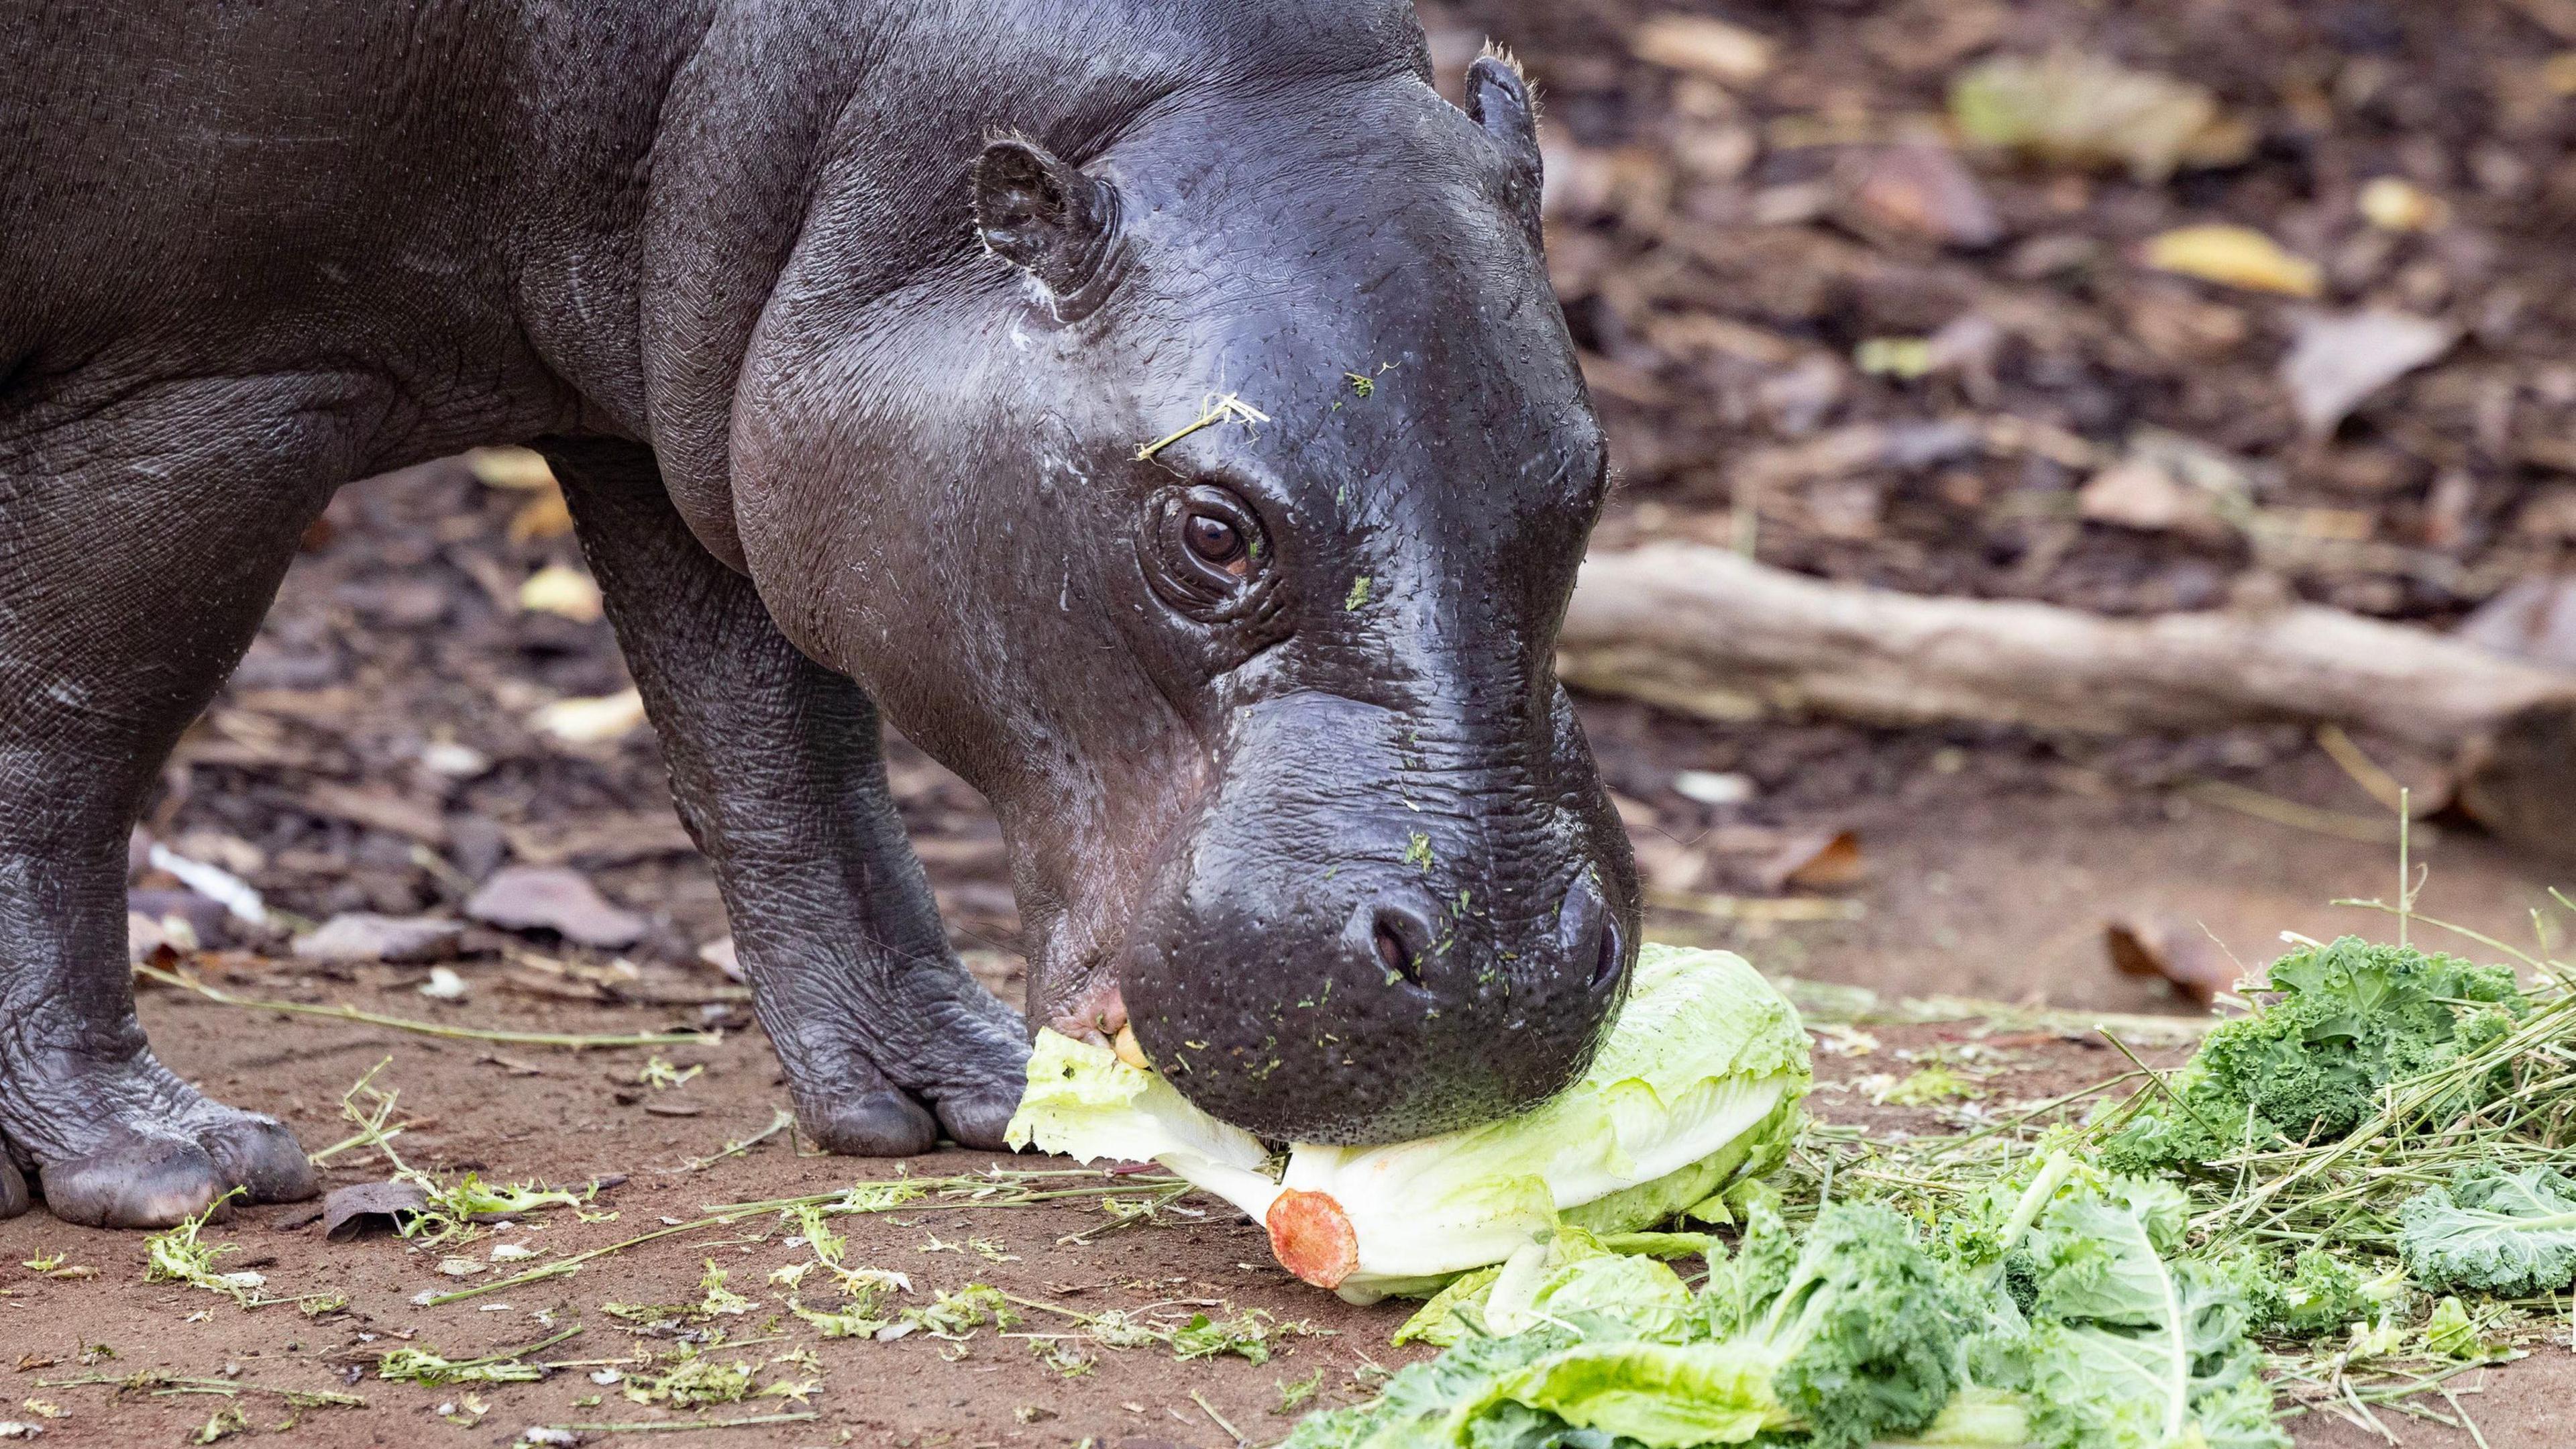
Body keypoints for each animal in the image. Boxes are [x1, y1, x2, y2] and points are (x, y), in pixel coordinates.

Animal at [0, 0, 1638, 1222]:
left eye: (1590, 479)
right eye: (1214, 532)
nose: (1501, 975)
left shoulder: (697, 397)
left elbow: (780, 748)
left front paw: (950, 1094)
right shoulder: (217, 377)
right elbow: (67, 738)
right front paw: (162, 1164)